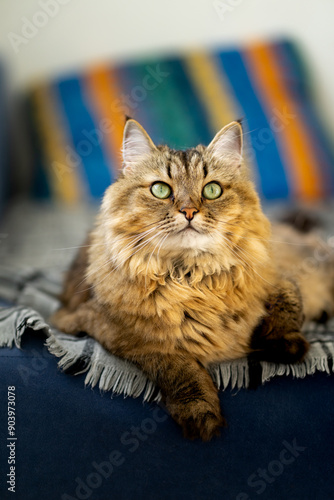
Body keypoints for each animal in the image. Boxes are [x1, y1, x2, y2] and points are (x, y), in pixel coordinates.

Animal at [51, 119, 332, 440]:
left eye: (211, 190)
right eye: (161, 190)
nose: (189, 211)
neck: (192, 278)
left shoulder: (278, 277)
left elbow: (288, 302)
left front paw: (285, 344)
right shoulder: (113, 331)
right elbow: (178, 365)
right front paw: (199, 412)